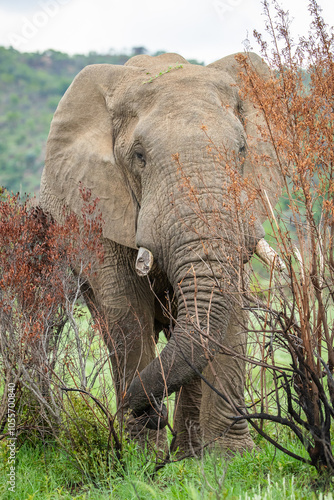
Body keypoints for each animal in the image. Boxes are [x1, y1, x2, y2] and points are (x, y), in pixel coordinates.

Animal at [40, 52, 284, 456]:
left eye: (242, 151)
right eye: (139, 156)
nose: (140, 408)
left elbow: (231, 311)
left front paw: (229, 457)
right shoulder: (100, 206)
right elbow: (126, 311)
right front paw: (142, 454)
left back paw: (188, 453)